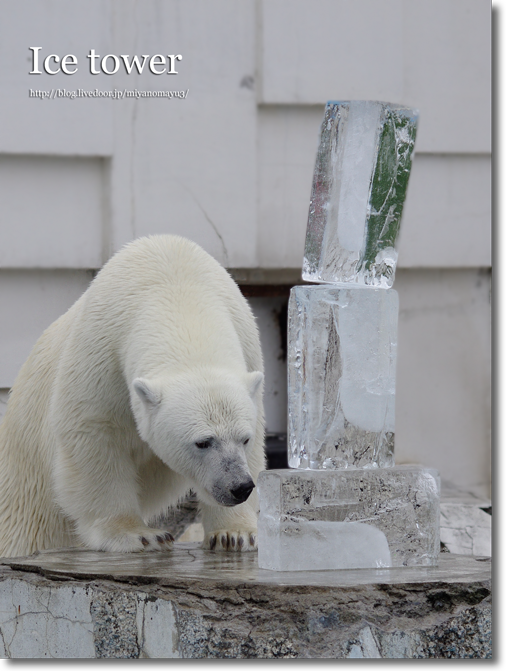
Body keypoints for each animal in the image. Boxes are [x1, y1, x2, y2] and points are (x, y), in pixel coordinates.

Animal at [0, 234, 266, 560]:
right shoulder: (102, 353)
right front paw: (140, 535)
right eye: (203, 442)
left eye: (244, 438)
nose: (238, 487)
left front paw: (234, 534)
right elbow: (94, 436)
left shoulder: (247, 341)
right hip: (26, 478)